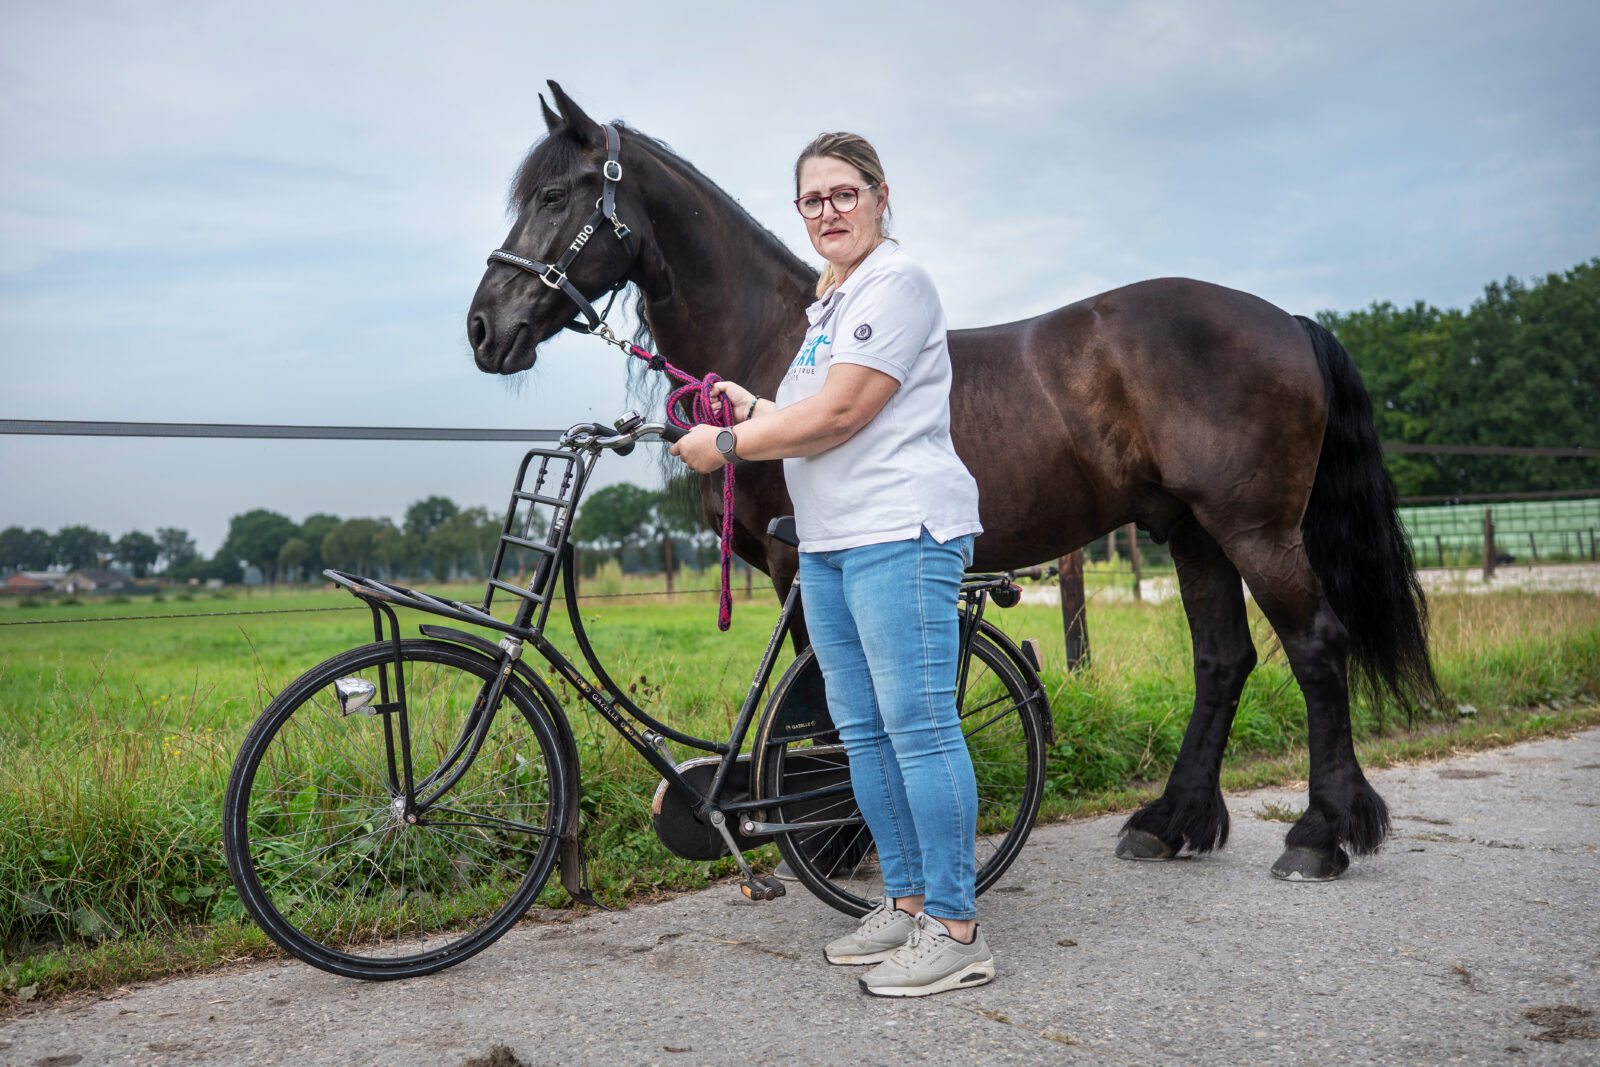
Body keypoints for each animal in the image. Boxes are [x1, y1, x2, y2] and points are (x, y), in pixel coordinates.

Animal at [466, 82, 1440, 882]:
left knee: (1315, 646)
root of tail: (1285, 318)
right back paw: (1170, 822)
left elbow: (823, 703)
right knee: (1223, 659)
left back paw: (1320, 835)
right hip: (1195, 531)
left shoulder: (797, 566)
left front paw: (839, 835)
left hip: (1254, 528)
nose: (482, 328)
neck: (772, 337)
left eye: (554, 196)